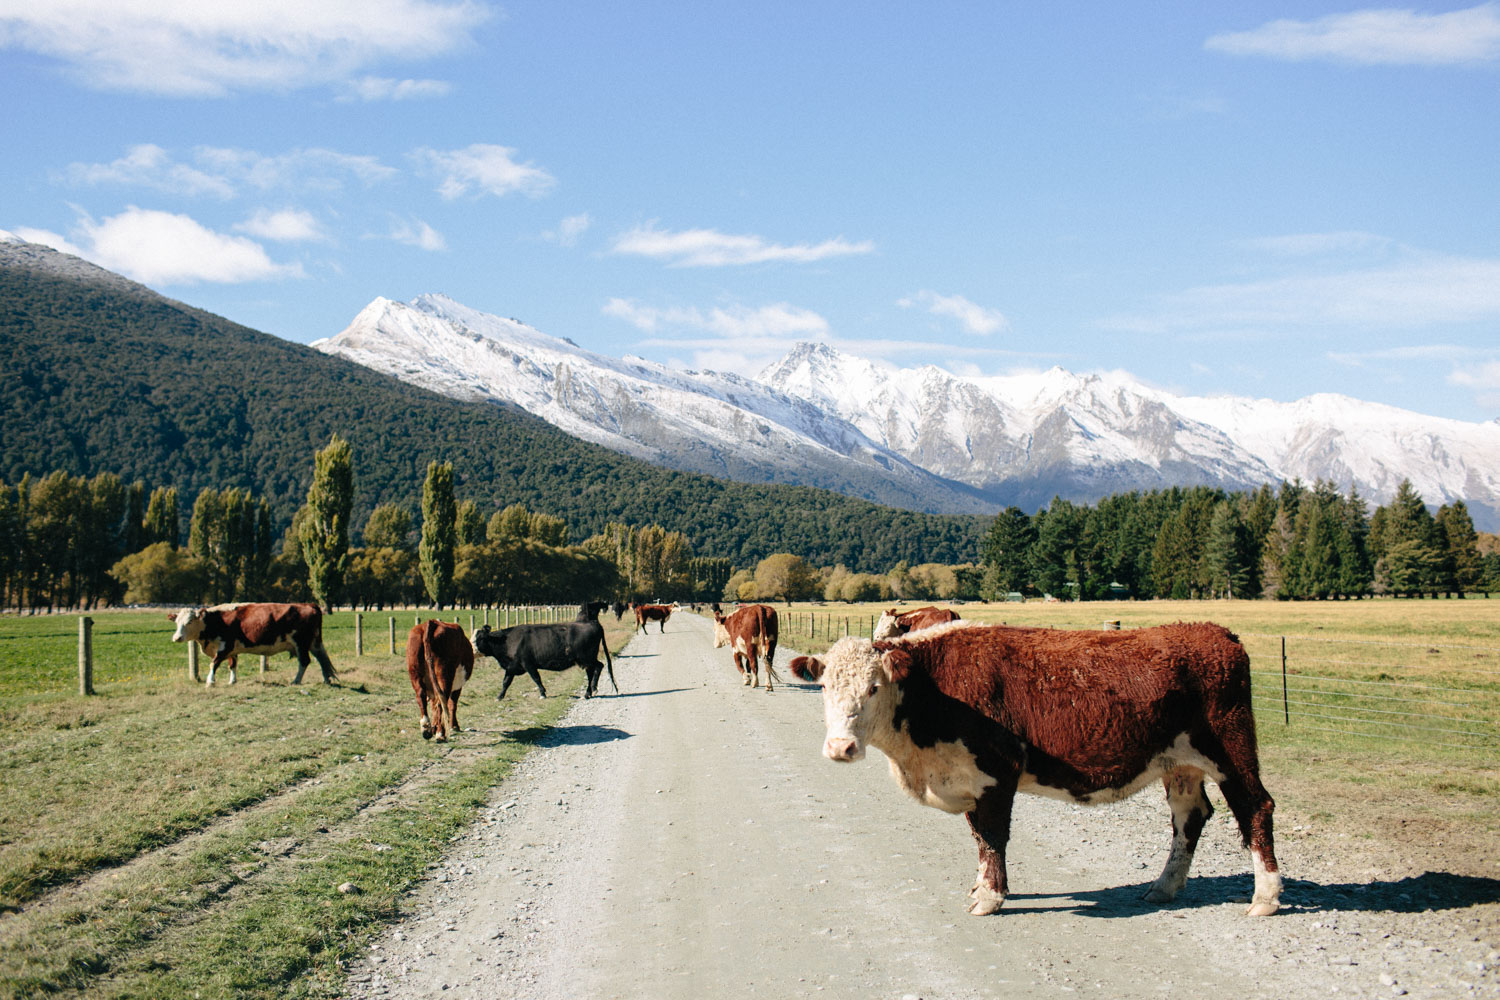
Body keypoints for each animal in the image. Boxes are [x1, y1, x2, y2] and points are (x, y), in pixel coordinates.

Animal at [168, 602, 336, 689]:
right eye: (177, 622)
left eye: (189, 621)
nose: (176, 638)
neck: (216, 621)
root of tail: (309, 605)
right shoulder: (232, 650)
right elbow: (232, 665)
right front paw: (232, 681)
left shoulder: (225, 646)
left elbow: (213, 664)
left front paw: (210, 682)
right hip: (313, 643)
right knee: (321, 659)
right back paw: (326, 679)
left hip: (301, 643)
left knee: (305, 661)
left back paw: (296, 680)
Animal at [471, 620, 618, 701]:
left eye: (481, 638)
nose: (471, 651)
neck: (507, 641)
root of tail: (592, 623)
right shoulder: (511, 667)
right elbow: (505, 682)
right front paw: (499, 697)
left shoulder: (528, 664)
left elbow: (536, 678)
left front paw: (542, 693)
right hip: (587, 660)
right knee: (595, 669)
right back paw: (590, 691)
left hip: (586, 658)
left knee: (596, 668)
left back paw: (591, 691)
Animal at [792, 626, 1284, 923]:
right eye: (824, 686)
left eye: (874, 688)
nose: (841, 748)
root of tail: (1213, 632)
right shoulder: (967, 780)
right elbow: (979, 837)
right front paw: (981, 886)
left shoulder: (996, 773)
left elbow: (992, 836)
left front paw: (990, 898)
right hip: (1179, 763)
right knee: (1190, 817)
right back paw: (1163, 887)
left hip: (1231, 749)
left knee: (1256, 807)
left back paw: (1265, 897)